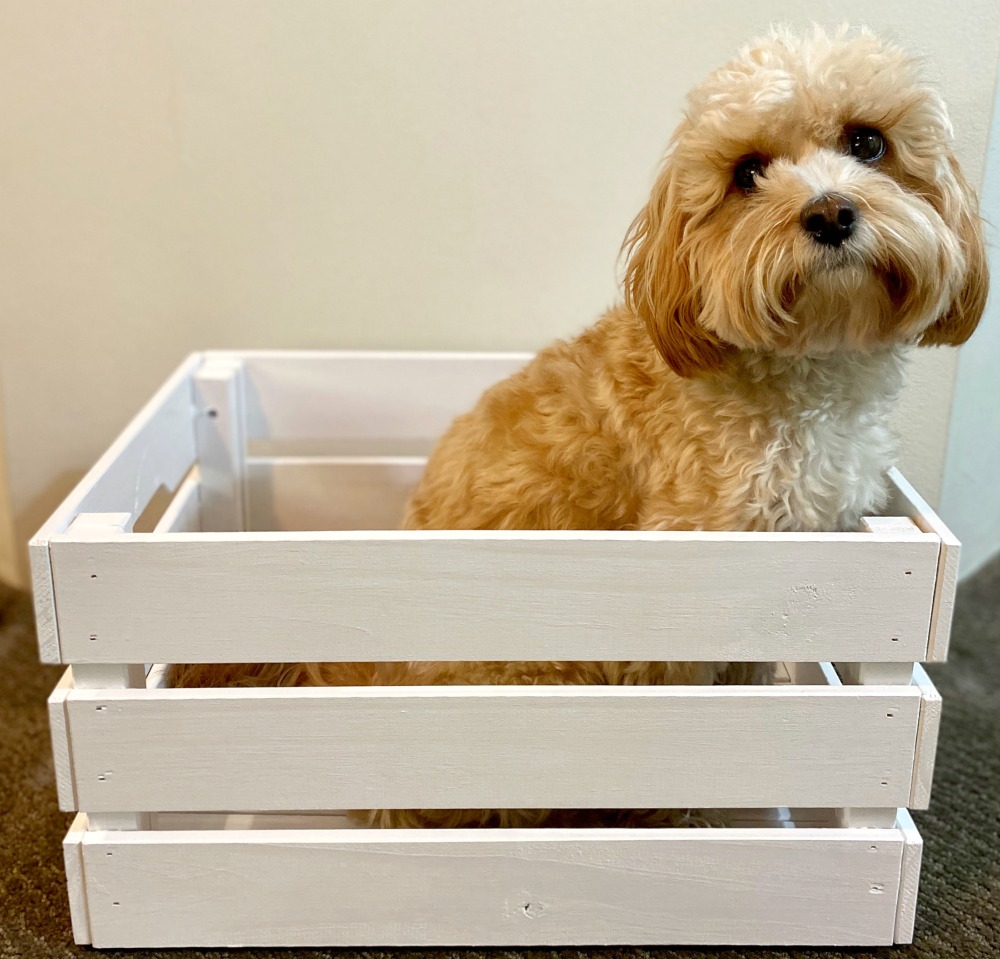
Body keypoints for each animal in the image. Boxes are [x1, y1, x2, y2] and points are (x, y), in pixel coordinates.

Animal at [172, 26, 984, 828]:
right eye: (747, 173)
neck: (807, 372)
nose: (829, 213)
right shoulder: (692, 583)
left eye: (868, 142)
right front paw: (691, 819)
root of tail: (368, 681)